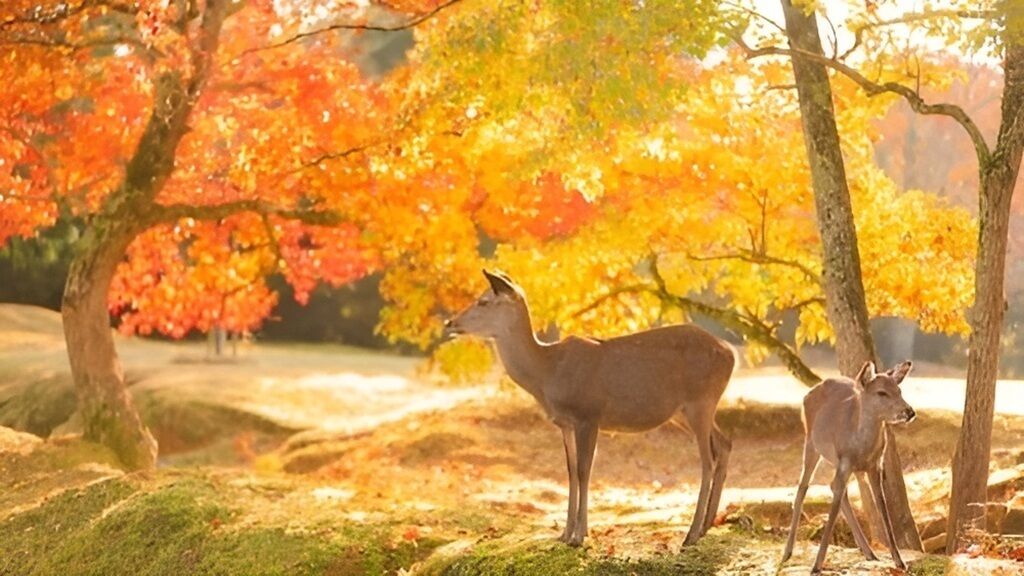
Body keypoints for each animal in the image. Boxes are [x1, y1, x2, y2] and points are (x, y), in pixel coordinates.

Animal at [443, 270, 736, 547]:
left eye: (483, 301)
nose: (450, 322)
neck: (547, 373)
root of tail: (731, 353)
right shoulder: (565, 422)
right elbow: (571, 470)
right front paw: (564, 534)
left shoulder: (589, 414)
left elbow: (585, 470)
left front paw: (579, 535)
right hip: (685, 412)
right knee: (724, 443)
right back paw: (707, 525)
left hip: (701, 400)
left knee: (707, 460)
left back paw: (692, 534)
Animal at [781, 360, 916, 575]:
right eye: (881, 393)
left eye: (899, 390)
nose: (910, 412)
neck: (861, 448)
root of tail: (808, 394)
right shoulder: (845, 460)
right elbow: (833, 509)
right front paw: (816, 566)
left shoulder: (875, 465)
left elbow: (882, 507)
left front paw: (899, 561)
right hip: (811, 442)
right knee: (803, 488)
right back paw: (787, 552)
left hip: (836, 461)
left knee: (834, 487)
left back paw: (869, 552)